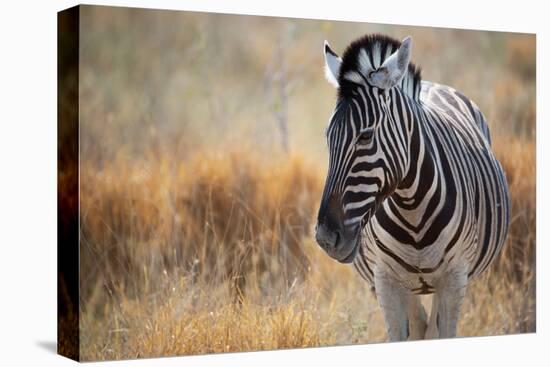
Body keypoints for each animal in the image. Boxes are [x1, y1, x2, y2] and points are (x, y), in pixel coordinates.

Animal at [316, 34, 512, 342]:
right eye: (328, 136)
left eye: (366, 136)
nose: (325, 237)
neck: (412, 208)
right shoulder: (385, 281)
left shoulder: (454, 279)